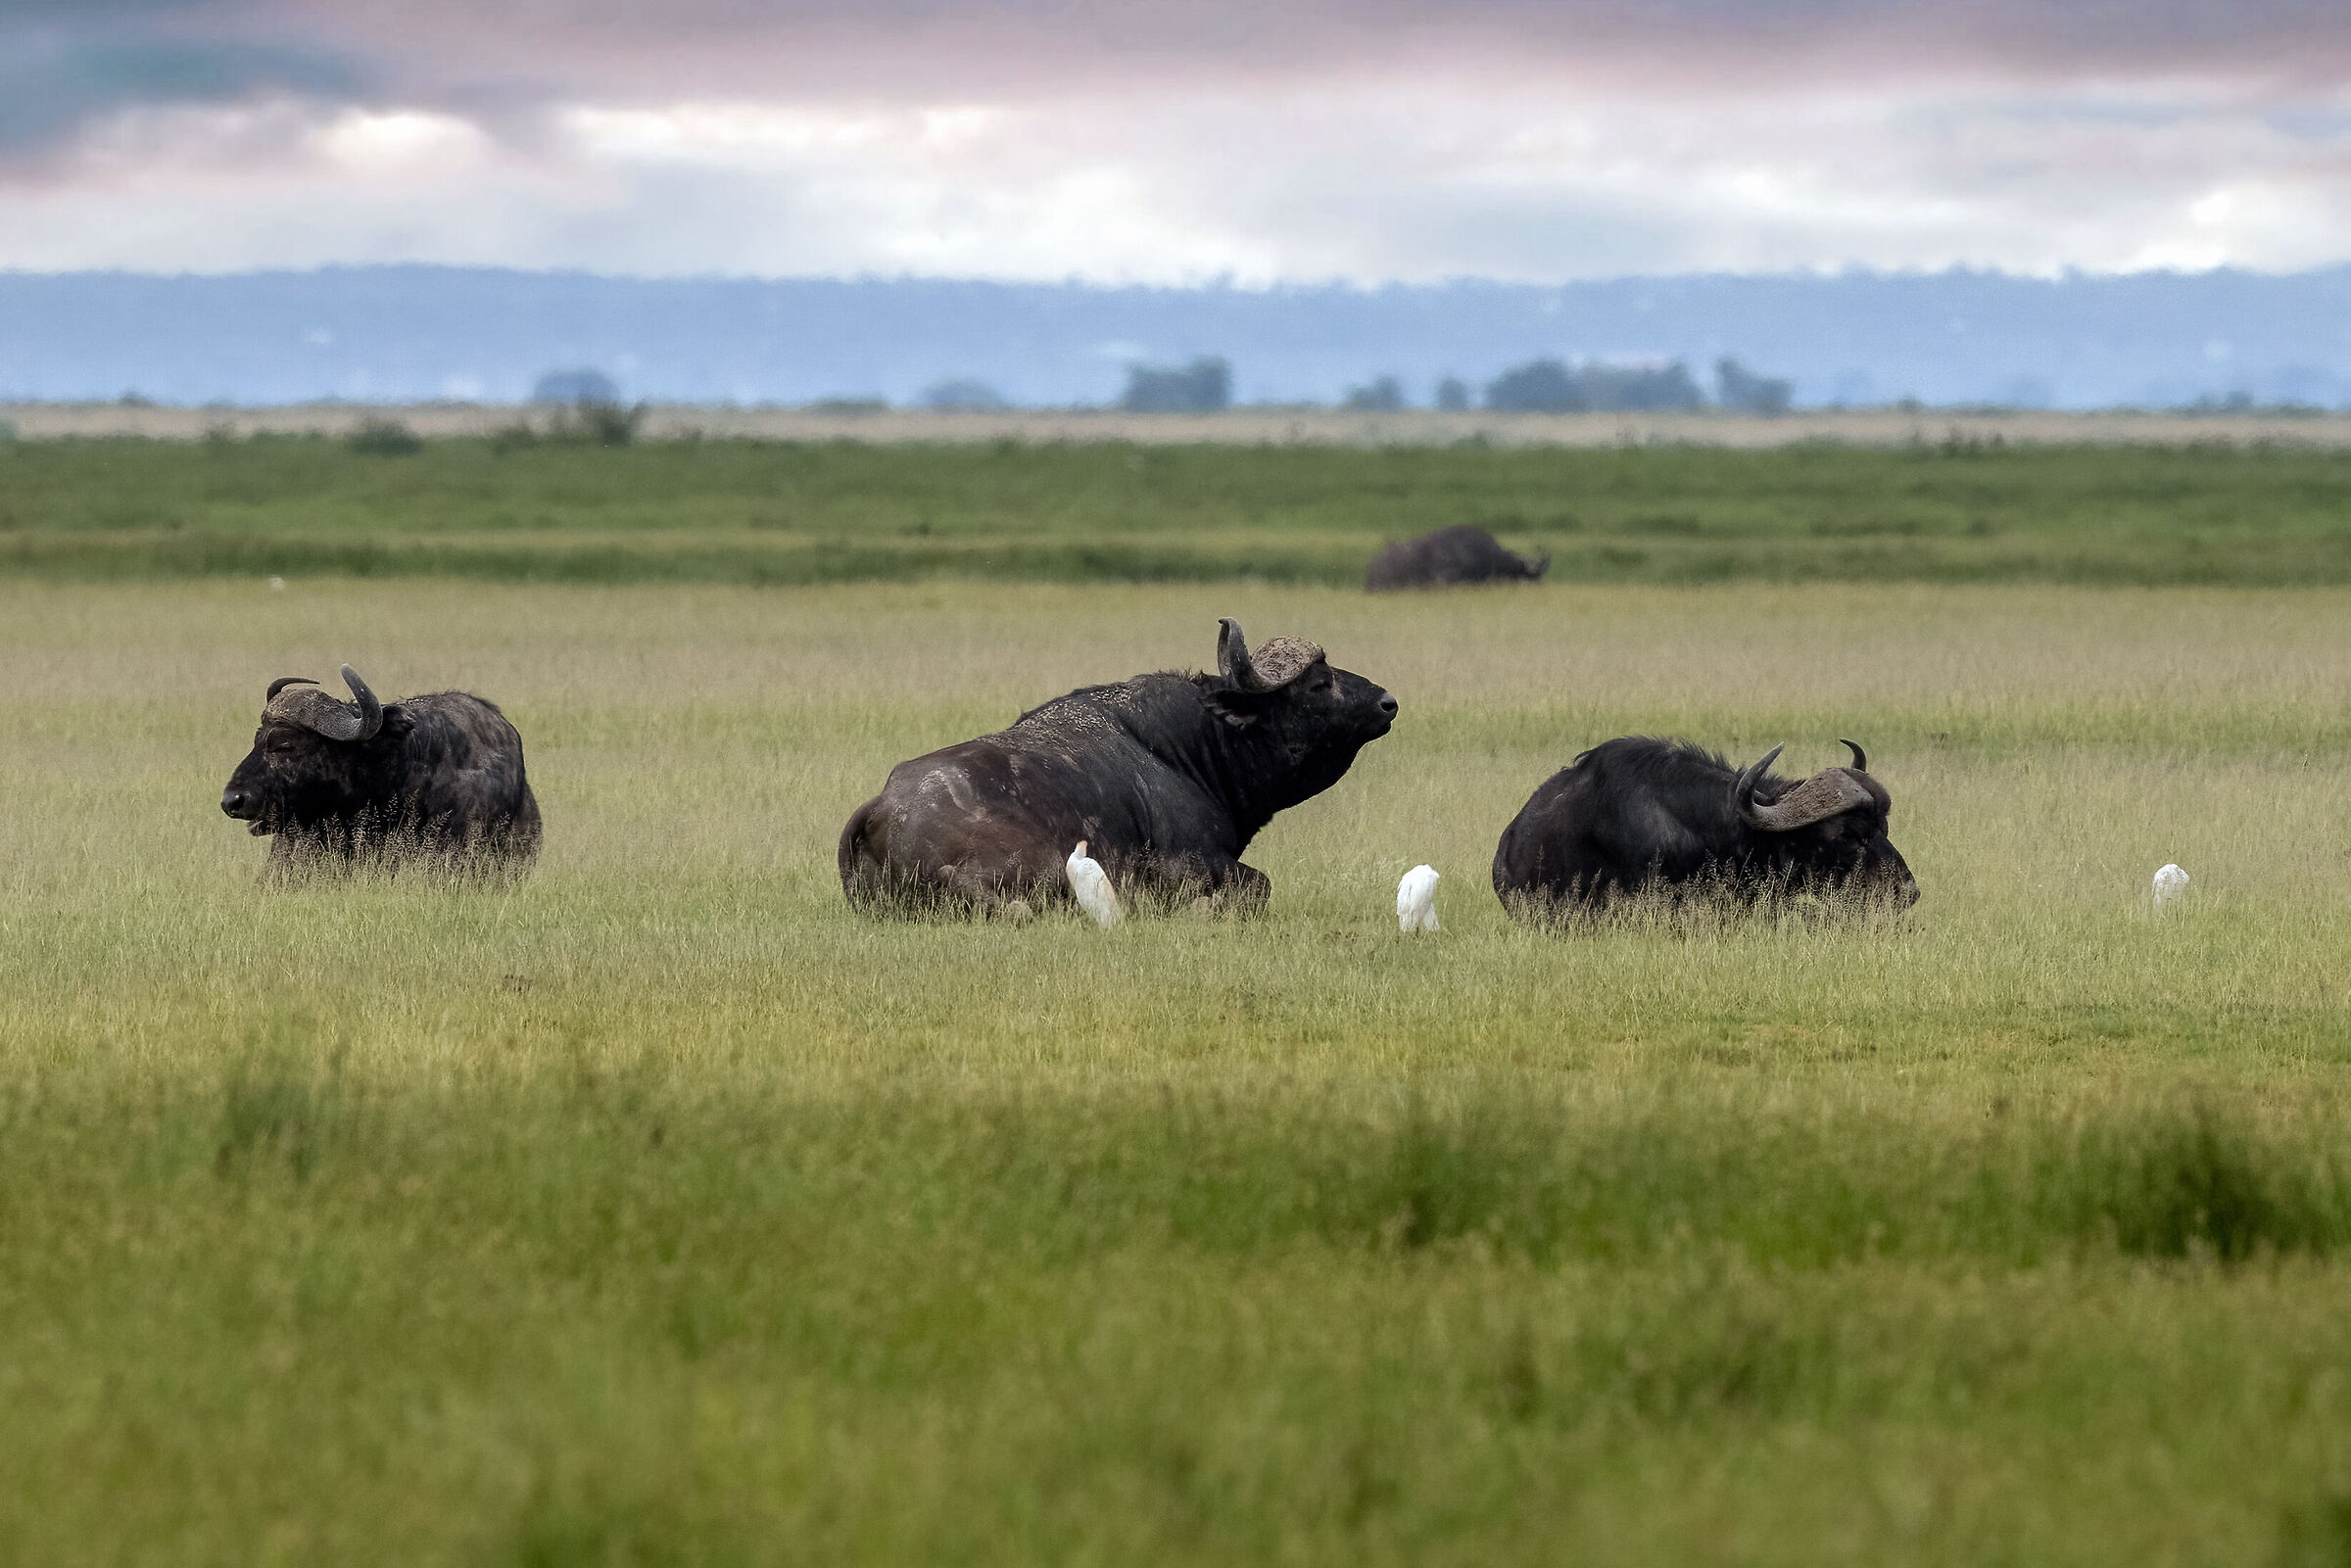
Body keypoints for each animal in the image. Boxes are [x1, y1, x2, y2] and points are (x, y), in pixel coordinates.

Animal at [840, 618, 1396, 916]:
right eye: (1320, 682)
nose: (1388, 702)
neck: (1192, 748)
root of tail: (881, 807)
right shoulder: (1187, 865)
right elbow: (1259, 886)